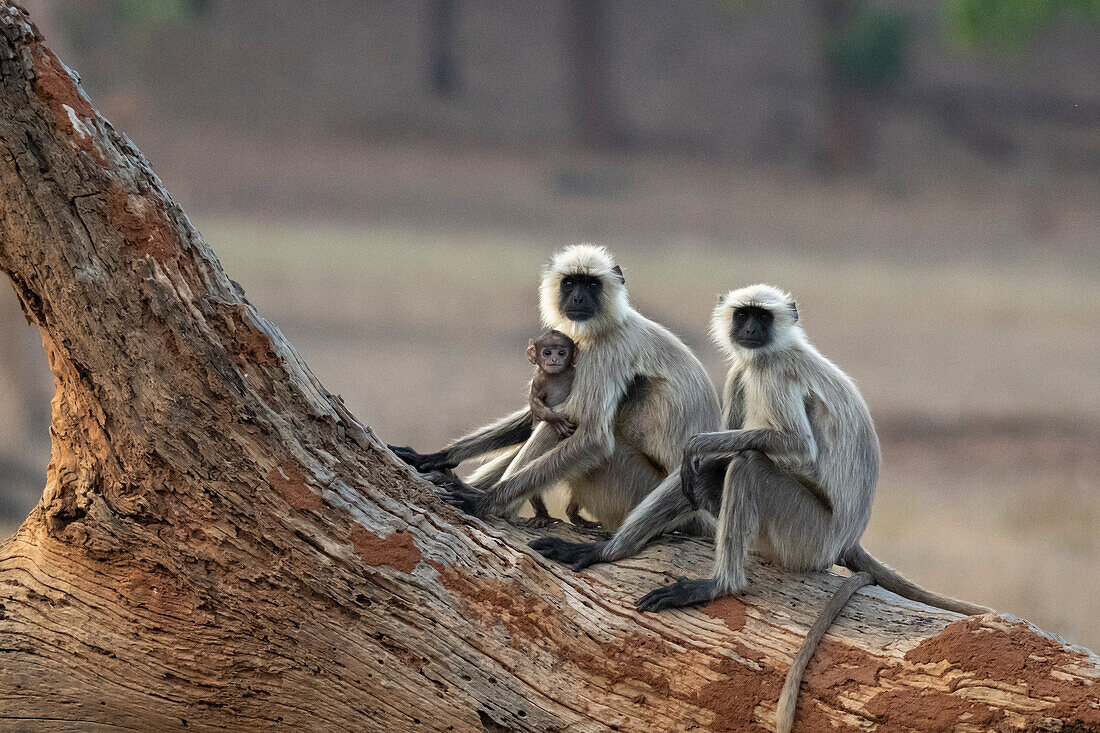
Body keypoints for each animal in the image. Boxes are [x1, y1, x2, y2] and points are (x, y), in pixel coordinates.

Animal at [393, 245, 721, 530]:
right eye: (571, 283)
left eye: (591, 285)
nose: (578, 299)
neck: (609, 324)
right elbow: (539, 412)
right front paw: (435, 457)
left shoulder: (608, 349)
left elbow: (593, 438)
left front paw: (483, 501)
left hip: (634, 490)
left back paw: (497, 506)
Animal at [532, 283, 990, 730]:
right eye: (743, 315)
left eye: (762, 316)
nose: (750, 329)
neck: (774, 350)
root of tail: (848, 538)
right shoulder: (742, 372)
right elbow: (696, 465)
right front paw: (600, 551)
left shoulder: (773, 373)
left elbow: (785, 446)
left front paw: (698, 444)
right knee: (716, 469)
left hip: (807, 536)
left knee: (747, 463)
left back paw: (721, 584)